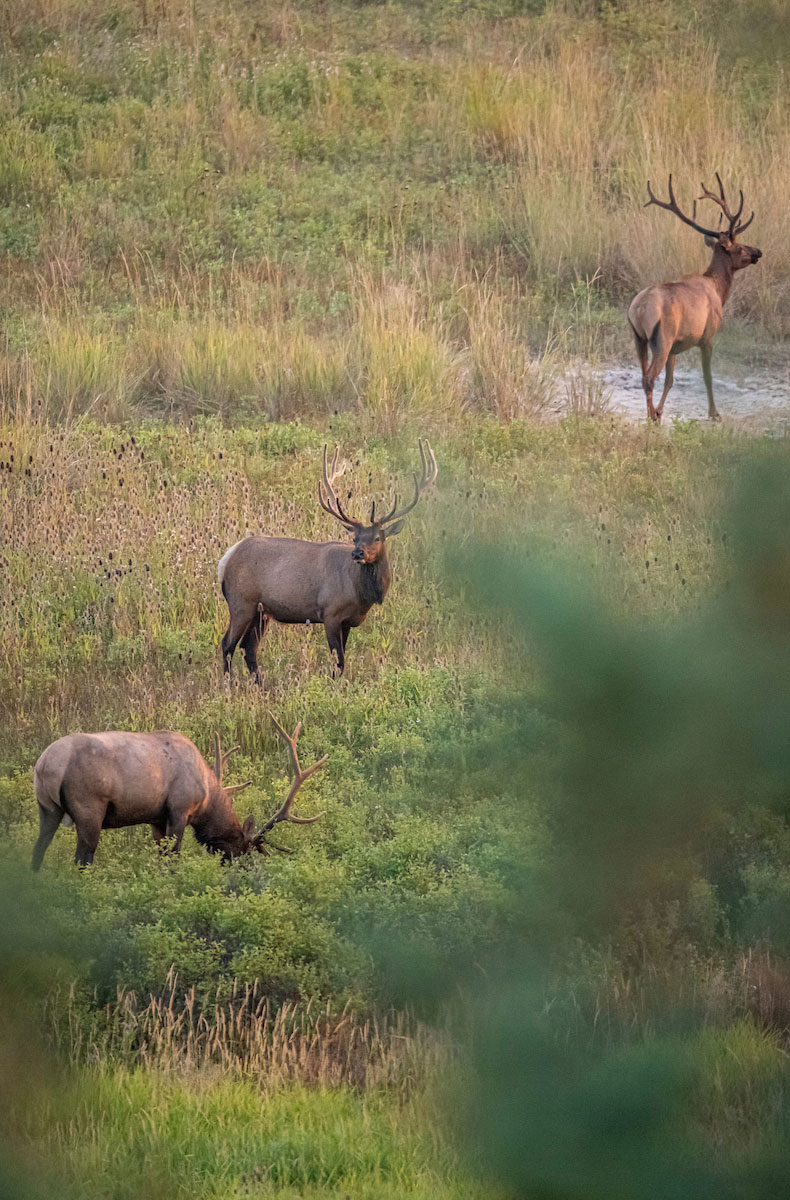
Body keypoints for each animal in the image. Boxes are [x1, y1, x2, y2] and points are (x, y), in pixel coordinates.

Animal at [32, 710, 324, 873]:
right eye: (243, 848)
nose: (245, 872)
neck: (206, 797)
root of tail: (46, 764)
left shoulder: (156, 818)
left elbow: (162, 857)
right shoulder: (179, 810)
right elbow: (174, 857)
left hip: (47, 809)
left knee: (38, 850)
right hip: (89, 807)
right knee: (83, 858)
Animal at [214, 441, 437, 686]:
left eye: (378, 538)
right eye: (355, 538)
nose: (357, 553)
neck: (360, 594)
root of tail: (226, 559)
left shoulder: (348, 621)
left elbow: (342, 659)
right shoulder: (330, 613)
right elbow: (338, 661)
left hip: (262, 612)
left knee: (248, 647)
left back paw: (260, 686)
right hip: (241, 602)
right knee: (227, 644)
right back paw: (228, 685)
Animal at [629, 175, 758, 422]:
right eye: (739, 247)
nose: (758, 251)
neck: (718, 289)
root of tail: (638, 310)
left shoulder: (675, 347)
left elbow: (670, 381)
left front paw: (661, 411)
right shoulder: (707, 335)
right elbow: (707, 376)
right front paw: (714, 413)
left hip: (639, 337)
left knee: (643, 374)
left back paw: (652, 413)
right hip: (662, 337)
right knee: (649, 377)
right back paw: (650, 417)